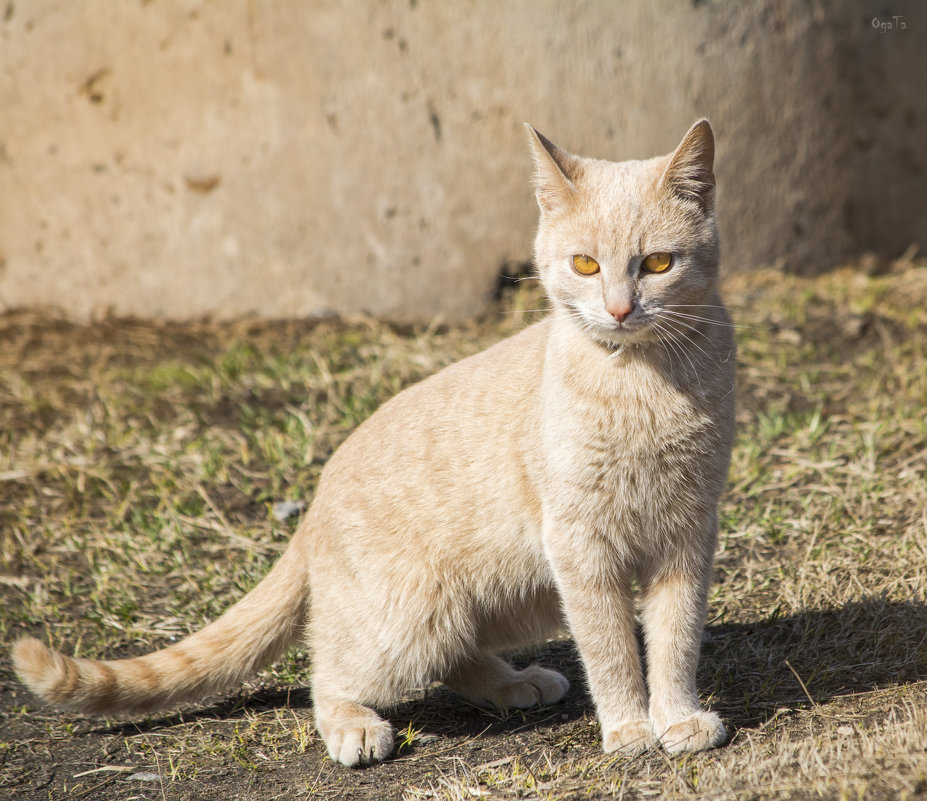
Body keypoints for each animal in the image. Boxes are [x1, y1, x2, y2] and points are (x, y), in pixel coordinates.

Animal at [10, 117, 736, 764]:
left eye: (657, 264)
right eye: (584, 264)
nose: (618, 309)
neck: (641, 384)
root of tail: (316, 500)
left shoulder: (687, 534)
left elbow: (673, 641)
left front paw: (676, 718)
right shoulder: (583, 547)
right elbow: (611, 650)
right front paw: (629, 729)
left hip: (506, 598)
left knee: (453, 656)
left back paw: (513, 683)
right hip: (412, 622)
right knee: (328, 672)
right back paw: (355, 728)